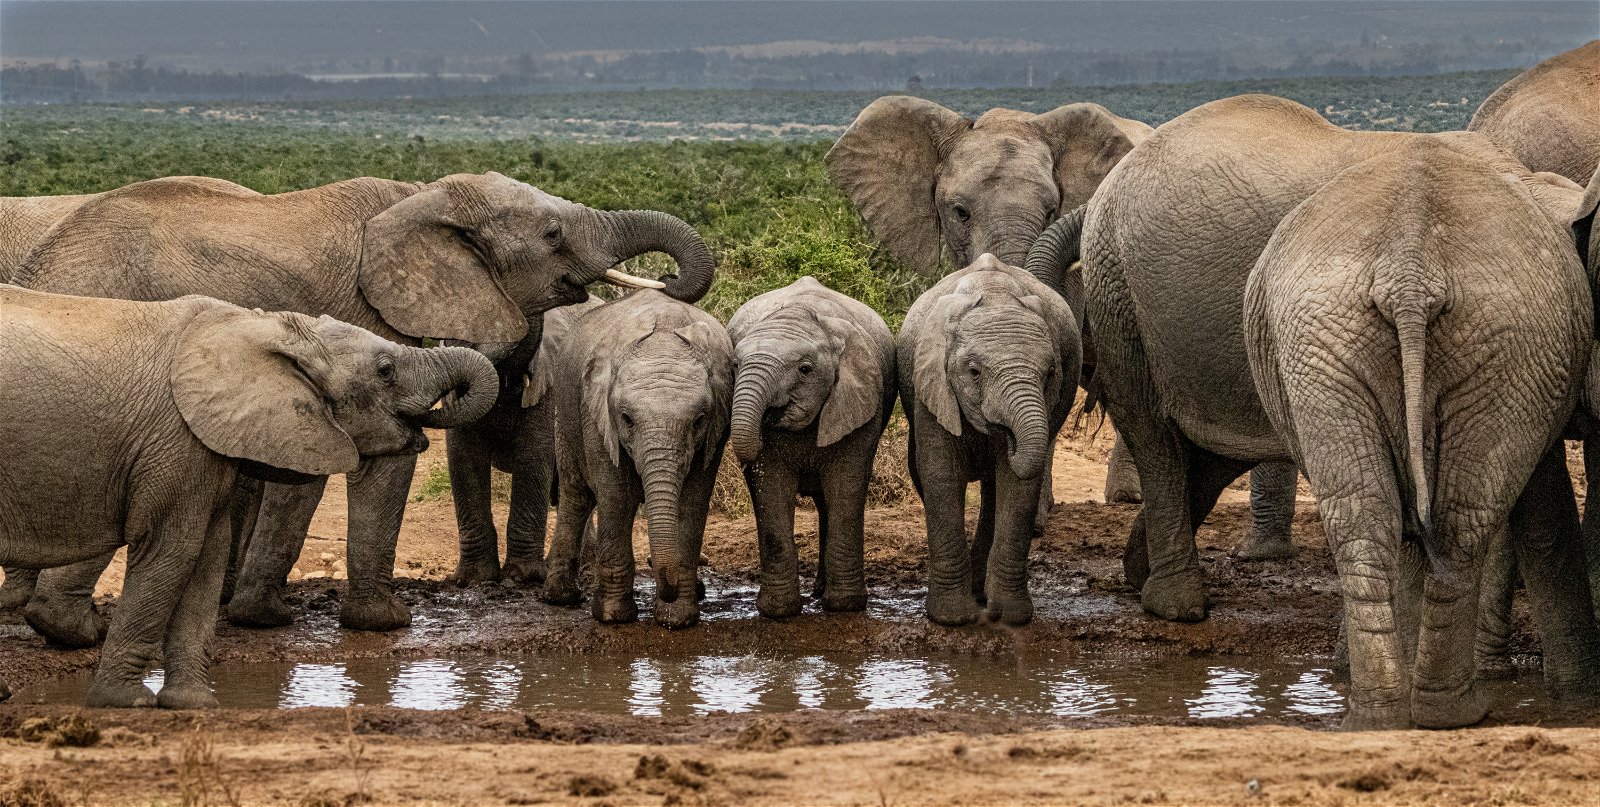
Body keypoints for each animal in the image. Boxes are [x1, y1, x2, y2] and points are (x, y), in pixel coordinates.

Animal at [0, 285, 498, 707]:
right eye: (386, 370)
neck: (269, 328)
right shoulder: (176, 442)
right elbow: (171, 553)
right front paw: (127, 703)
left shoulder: (203, 447)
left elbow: (206, 556)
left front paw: (196, 706)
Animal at [541, 290, 733, 629]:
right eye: (627, 419)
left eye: (698, 422)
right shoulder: (596, 414)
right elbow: (617, 497)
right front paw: (614, 617)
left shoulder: (715, 433)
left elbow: (693, 501)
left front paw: (677, 619)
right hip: (564, 412)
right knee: (576, 495)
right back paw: (560, 597)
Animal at [726, 276, 897, 619]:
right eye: (735, 365)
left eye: (805, 369)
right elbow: (770, 488)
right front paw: (779, 611)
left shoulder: (860, 404)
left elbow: (846, 485)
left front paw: (846, 607)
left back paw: (822, 593)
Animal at [897, 254, 1080, 627]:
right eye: (974, 372)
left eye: (1050, 373)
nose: (1007, 437)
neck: (995, 294)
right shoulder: (932, 385)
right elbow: (940, 473)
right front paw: (953, 619)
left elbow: (1017, 485)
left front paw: (1008, 617)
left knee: (996, 489)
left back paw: (982, 593)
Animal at [1244, 140, 1596, 729]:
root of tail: (1409, 270)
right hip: (1375, 341)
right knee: (1432, 520)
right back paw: (1422, 712)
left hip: (1387, 343)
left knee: (1398, 520)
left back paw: (1407, 713)